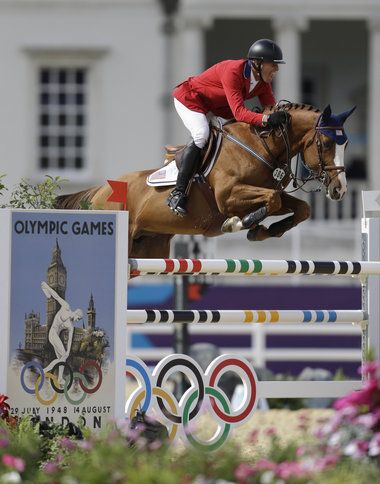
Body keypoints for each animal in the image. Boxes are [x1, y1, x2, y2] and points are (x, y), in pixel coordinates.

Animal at [55, 102, 354, 260]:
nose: (340, 190)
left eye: (346, 144)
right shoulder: (228, 196)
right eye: (326, 143)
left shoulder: (264, 192)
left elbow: (301, 207)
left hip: (149, 247)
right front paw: (240, 224)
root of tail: (100, 191)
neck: (262, 145)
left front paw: (266, 230)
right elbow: (272, 200)